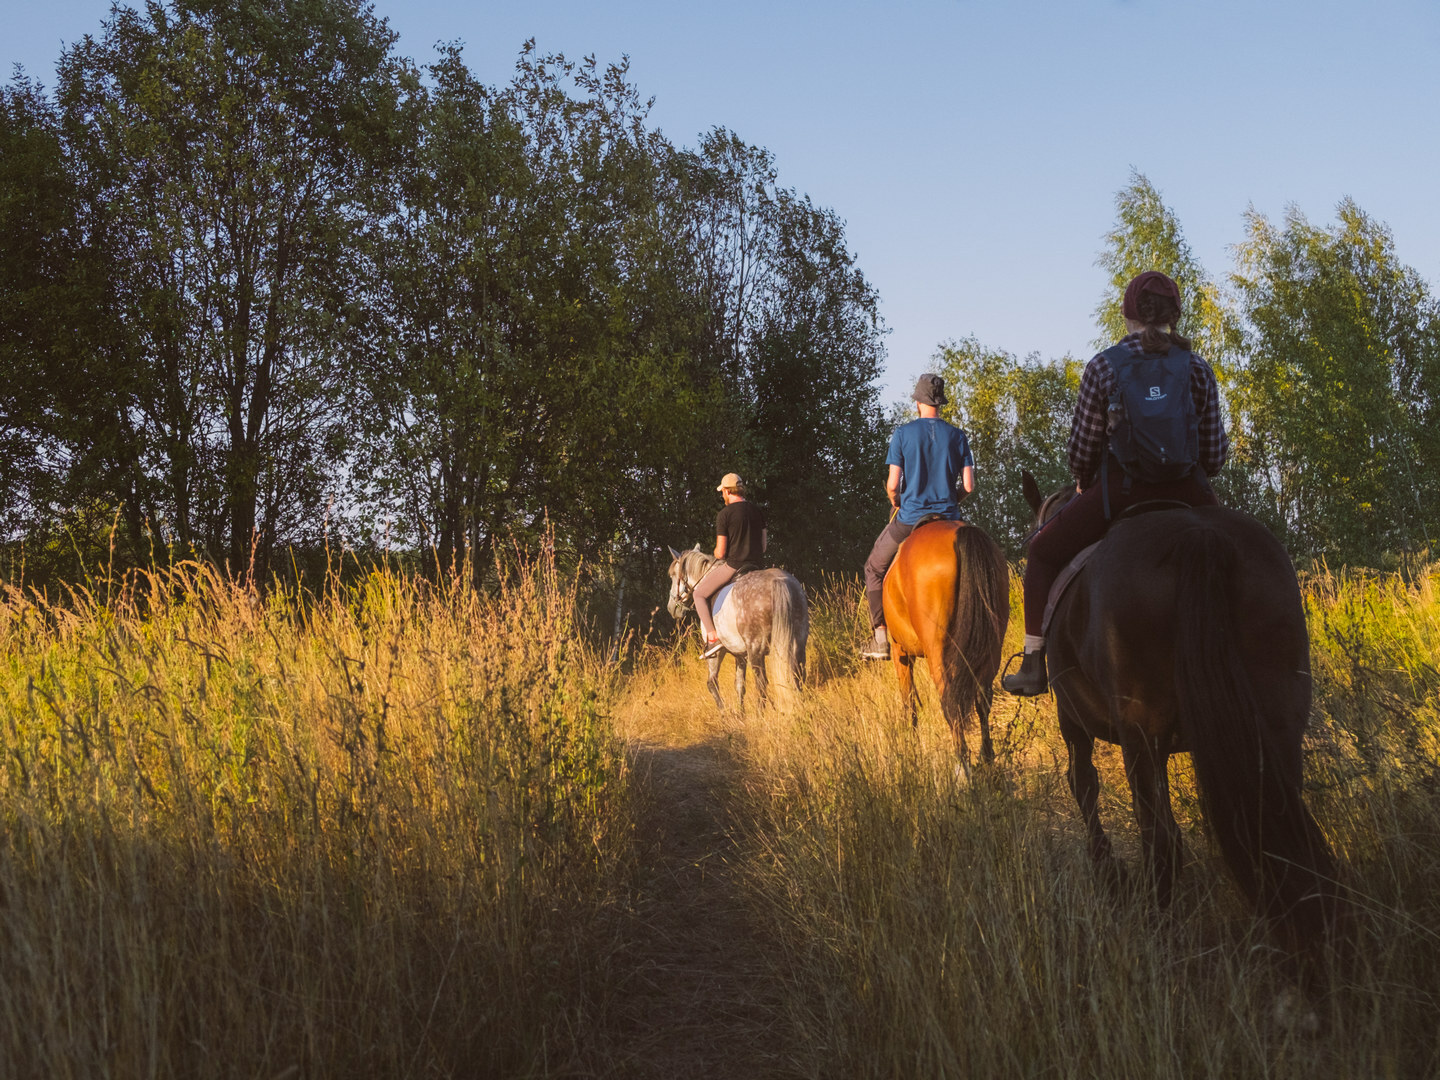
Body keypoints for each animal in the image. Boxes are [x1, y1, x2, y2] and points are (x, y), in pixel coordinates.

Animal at [665, 544, 806, 714]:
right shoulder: (740, 654)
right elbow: (739, 685)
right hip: (798, 642)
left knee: (761, 683)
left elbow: (712, 683)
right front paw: (740, 713)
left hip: (755, 649)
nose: (671, 608)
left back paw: (760, 715)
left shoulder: (717, 651)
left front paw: (726, 714)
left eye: (673, 576)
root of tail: (778, 580)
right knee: (797, 676)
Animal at [881, 521, 1008, 771]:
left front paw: (911, 750)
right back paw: (987, 758)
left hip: (936, 651)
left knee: (950, 702)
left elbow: (909, 702)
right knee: (982, 698)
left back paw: (962, 763)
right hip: (992, 645)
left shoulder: (901, 653)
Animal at [1025, 472, 1336, 973]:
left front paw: (1108, 872)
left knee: (1160, 839)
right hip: (1280, 718)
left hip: (1141, 736)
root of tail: (1199, 537)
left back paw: (1157, 925)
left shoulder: (1072, 720)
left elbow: (1083, 784)